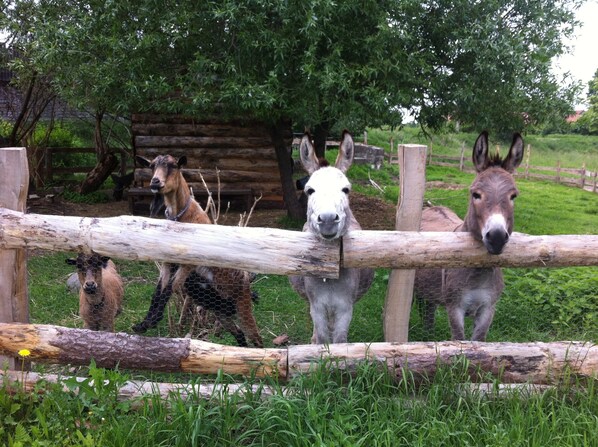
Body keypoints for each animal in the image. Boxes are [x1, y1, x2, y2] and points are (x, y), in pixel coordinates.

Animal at [134, 156, 264, 348]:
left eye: (173, 165)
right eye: (151, 166)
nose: (155, 182)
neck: (183, 217)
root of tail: (247, 282)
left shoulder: (188, 264)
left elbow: (170, 287)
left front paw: (152, 321)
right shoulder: (168, 262)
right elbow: (159, 290)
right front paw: (144, 324)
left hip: (242, 303)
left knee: (255, 337)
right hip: (220, 311)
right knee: (239, 334)